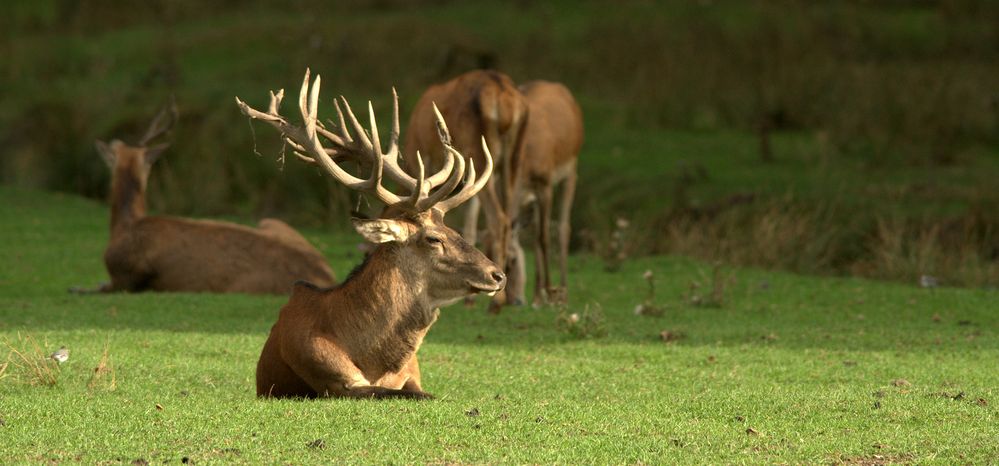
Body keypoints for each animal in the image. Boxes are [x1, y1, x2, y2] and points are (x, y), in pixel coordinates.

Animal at [236, 71, 508, 398]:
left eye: (452, 230)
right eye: (434, 239)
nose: (498, 275)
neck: (373, 360)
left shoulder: (412, 372)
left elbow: (419, 391)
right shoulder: (335, 379)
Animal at [406, 70, 532, 310]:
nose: (519, 300)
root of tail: (505, 98)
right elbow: (470, 221)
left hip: (480, 152)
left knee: (498, 217)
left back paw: (496, 302)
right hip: (515, 157)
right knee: (508, 216)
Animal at [508, 80, 584, 306]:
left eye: (512, 260)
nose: (513, 301)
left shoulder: (546, 184)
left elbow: (544, 237)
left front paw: (552, 292)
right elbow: (534, 237)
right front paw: (539, 296)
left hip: (571, 169)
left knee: (563, 227)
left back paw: (563, 292)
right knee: (535, 233)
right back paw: (537, 295)